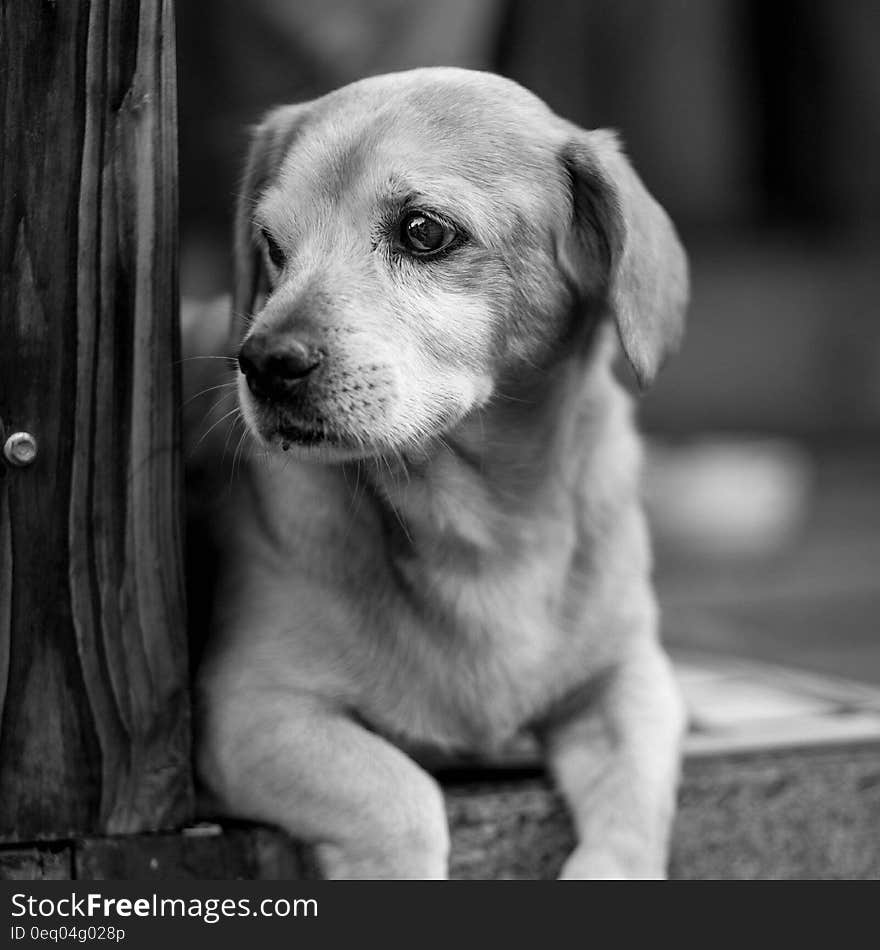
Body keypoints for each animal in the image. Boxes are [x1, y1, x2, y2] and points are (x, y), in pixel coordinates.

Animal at [189, 69, 692, 884]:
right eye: (271, 246)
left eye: (425, 232)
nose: (262, 363)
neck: (482, 531)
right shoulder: (248, 708)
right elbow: (403, 796)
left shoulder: (632, 682)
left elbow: (634, 818)